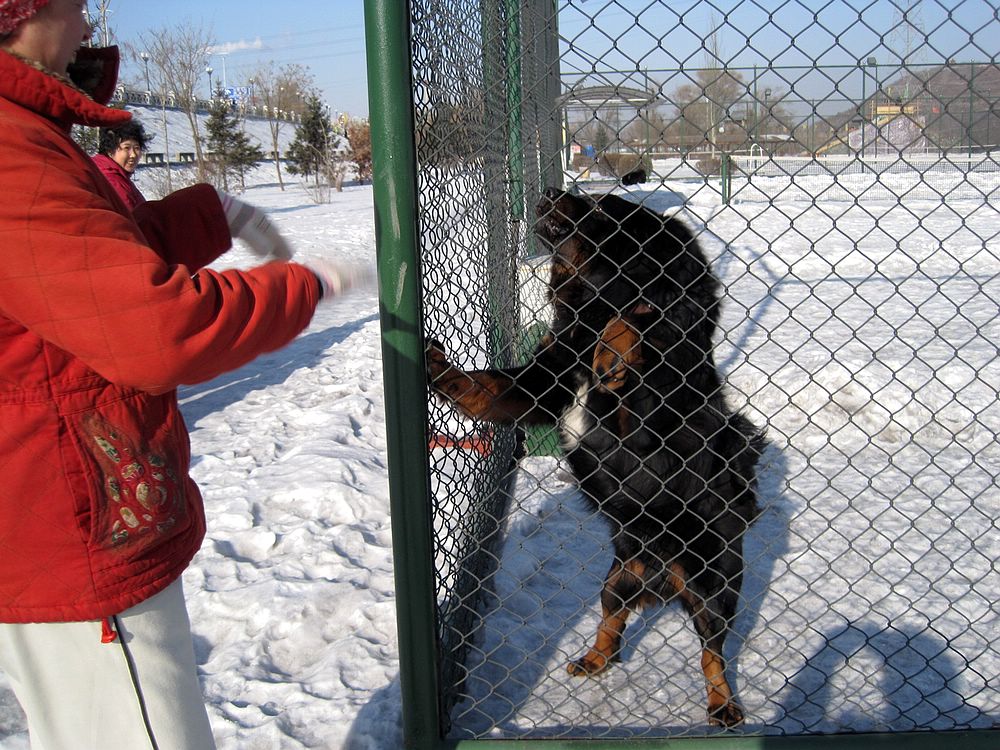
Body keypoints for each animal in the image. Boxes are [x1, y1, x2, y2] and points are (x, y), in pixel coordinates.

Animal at [426, 188, 760, 728]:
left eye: (603, 210)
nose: (549, 193)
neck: (592, 308)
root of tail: (661, 577)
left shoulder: (650, 423)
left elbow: (636, 323)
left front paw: (616, 348)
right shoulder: (538, 384)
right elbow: (483, 387)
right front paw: (438, 366)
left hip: (713, 585)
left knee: (713, 653)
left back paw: (723, 703)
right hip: (616, 579)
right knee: (613, 621)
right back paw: (594, 658)